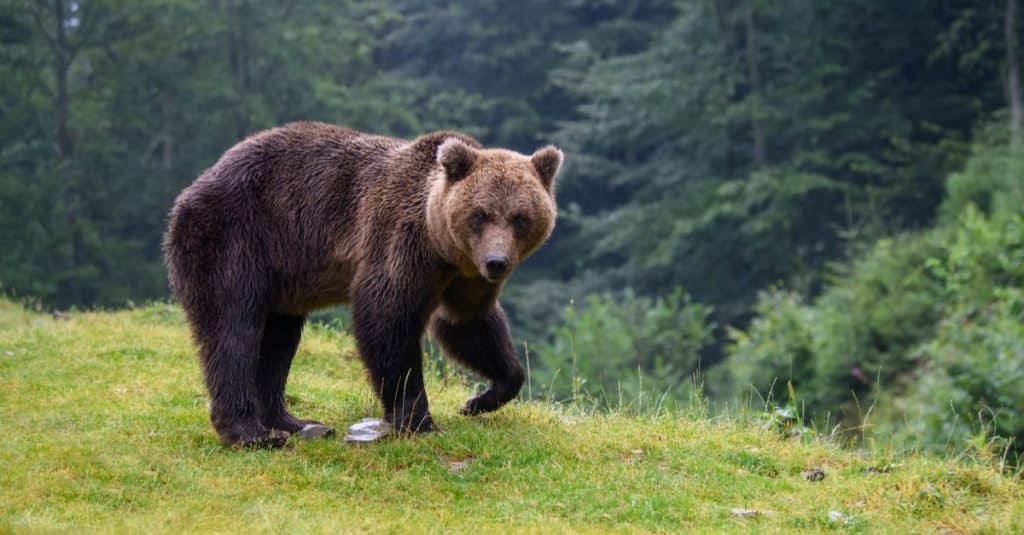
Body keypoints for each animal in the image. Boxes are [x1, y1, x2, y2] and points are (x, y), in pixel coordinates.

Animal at [161, 120, 561, 444]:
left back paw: (291, 421)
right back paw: (251, 432)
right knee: (234, 328)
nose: (497, 263)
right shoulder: (400, 241)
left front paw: (481, 398)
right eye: (481, 214)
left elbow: (467, 324)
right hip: (237, 236)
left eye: (520, 217)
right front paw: (420, 420)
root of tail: (191, 189)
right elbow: (387, 319)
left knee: (278, 339)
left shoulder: (463, 276)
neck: (441, 243)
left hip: (282, 277)